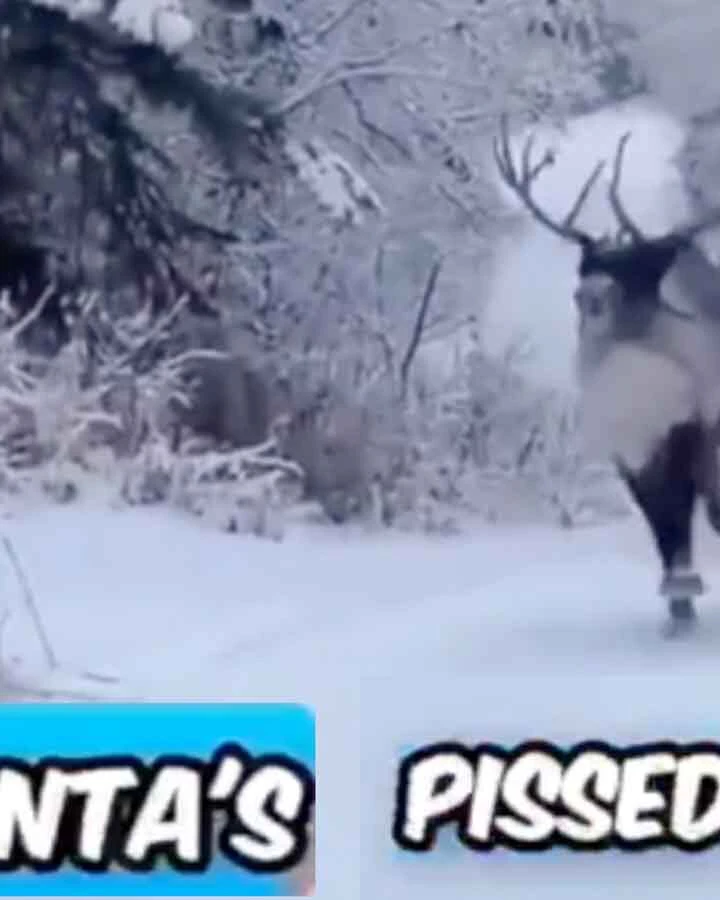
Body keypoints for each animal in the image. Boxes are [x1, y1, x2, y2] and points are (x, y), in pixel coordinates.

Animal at [493, 115, 720, 637]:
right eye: (586, 264)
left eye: (646, 267)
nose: (591, 295)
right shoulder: (632, 460)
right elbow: (666, 535)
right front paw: (679, 611)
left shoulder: (694, 438)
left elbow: (685, 524)